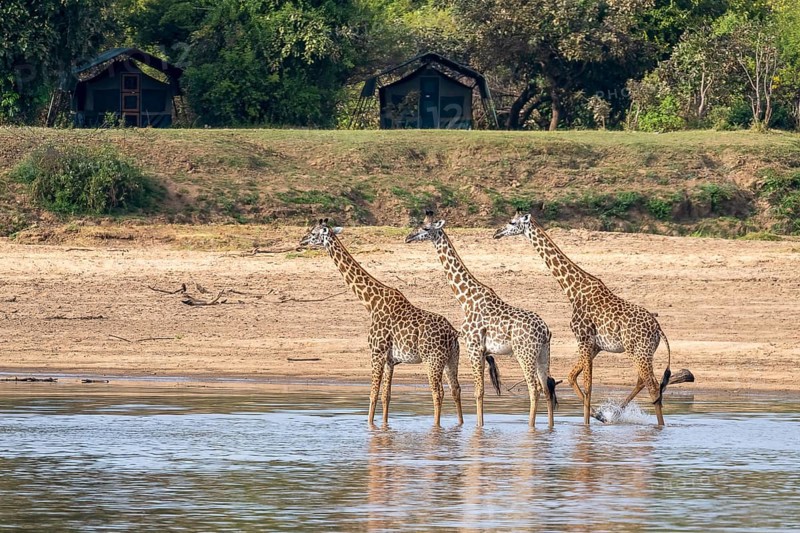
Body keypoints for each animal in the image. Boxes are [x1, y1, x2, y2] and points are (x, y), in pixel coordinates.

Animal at [300, 218, 463, 427]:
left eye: (314, 233)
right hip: (452, 358)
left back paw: (436, 427)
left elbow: (373, 394)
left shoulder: (376, 352)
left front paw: (369, 425)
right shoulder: (390, 360)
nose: (302, 241)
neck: (371, 302)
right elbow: (386, 395)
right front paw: (384, 426)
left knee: (438, 392)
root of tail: (453, 333)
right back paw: (460, 425)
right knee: (455, 389)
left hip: (432, 359)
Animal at [406, 212, 557, 428]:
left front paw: (479, 427)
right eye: (419, 224)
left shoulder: (473, 347)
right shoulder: (483, 351)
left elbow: (478, 391)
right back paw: (549, 428)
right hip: (543, 353)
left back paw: (530, 427)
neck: (466, 299)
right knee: (546, 388)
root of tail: (545, 331)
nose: (408, 237)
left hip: (525, 353)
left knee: (533, 389)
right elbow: (482, 391)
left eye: (426, 229)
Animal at [494, 212, 684, 426]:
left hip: (638, 351)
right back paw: (618, 414)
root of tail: (659, 329)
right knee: (644, 381)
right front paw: (597, 416)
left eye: (512, 222)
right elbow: (572, 377)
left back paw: (657, 425)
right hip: (642, 352)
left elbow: (588, 385)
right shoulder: (595, 345)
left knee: (652, 385)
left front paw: (587, 425)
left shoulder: (583, 338)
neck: (573, 291)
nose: (496, 233)